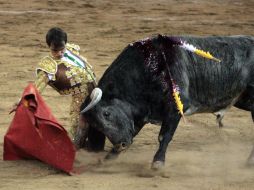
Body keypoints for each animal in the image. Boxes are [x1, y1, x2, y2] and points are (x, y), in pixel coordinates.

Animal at [80, 35, 254, 169]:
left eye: (106, 113)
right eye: (95, 125)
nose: (120, 144)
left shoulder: (174, 109)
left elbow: (164, 136)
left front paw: (158, 163)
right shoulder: (139, 114)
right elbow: (133, 131)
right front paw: (108, 159)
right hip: (244, 101)